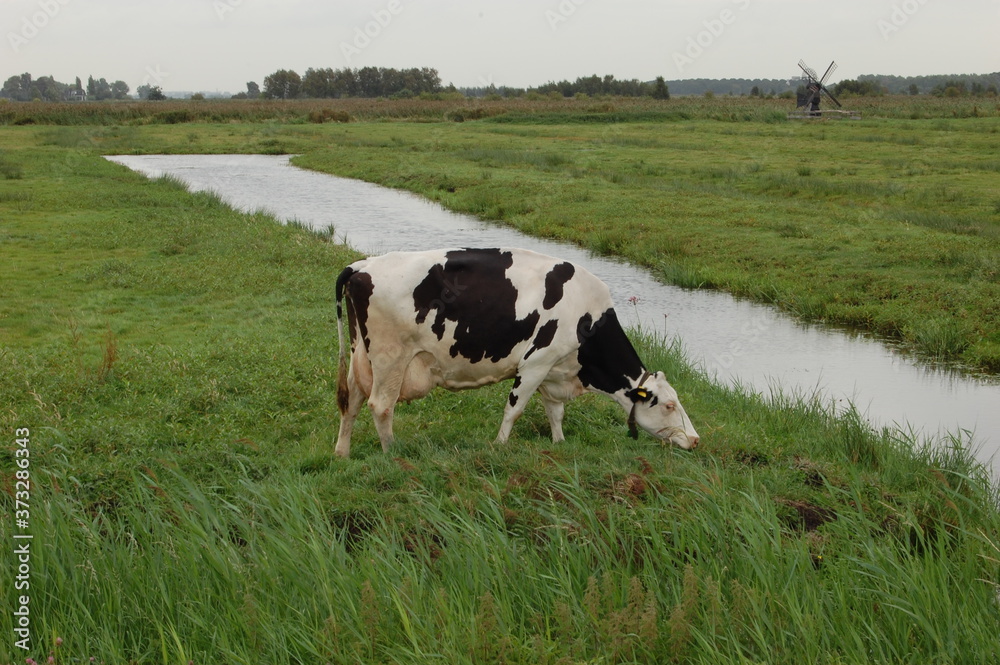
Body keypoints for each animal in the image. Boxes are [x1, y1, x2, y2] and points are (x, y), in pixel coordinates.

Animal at [334, 247, 699, 457]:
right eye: (668, 405)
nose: (695, 439)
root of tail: (361, 265)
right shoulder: (536, 363)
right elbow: (514, 410)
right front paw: (499, 446)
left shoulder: (553, 370)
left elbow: (555, 412)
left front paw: (559, 443)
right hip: (390, 357)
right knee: (381, 405)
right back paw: (392, 455)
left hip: (360, 354)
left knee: (351, 401)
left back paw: (342, 453)